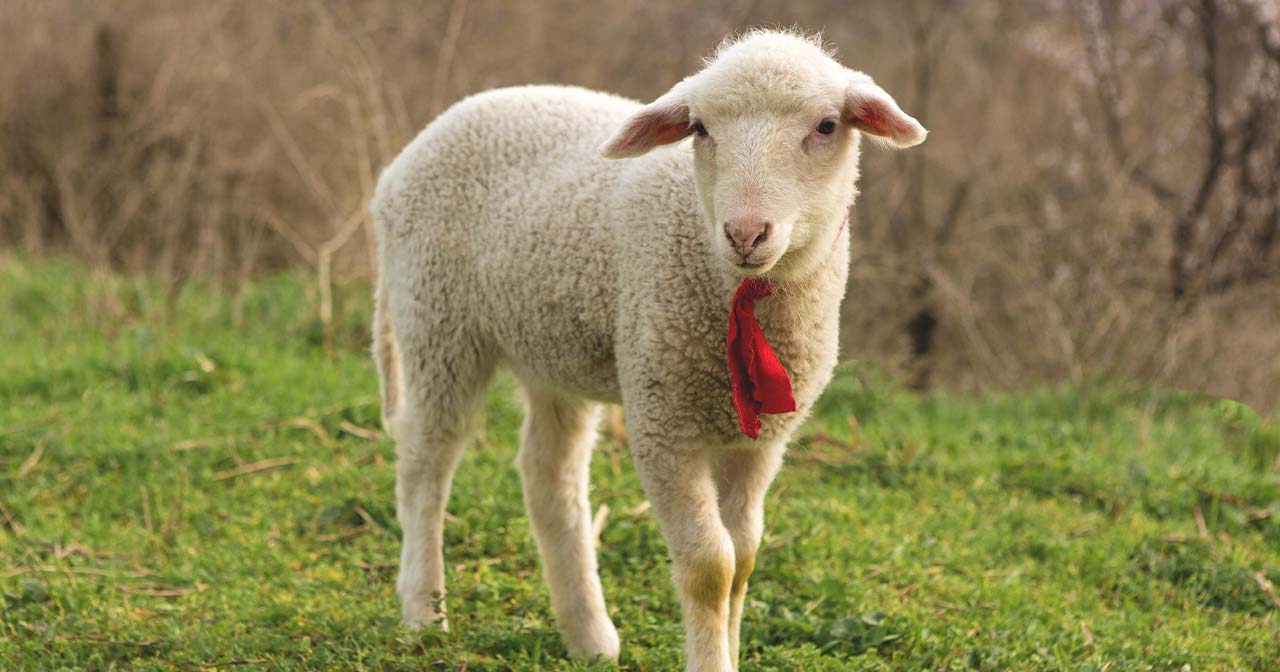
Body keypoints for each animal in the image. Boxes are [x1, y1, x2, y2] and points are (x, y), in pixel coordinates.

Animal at [371, 29, 926, 672]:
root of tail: (407, 156)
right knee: (426, 460)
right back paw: (423, 612)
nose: (745, 233)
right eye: (701, 129)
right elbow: (711, 567)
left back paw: (588, 635)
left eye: (827, 126)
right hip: (437, 320)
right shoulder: (664, 422)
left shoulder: (761, 439)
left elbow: (744, 559)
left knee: (549, 476)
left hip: (551, 348)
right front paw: (710, 660)